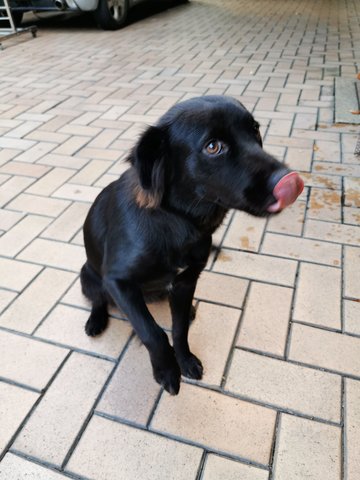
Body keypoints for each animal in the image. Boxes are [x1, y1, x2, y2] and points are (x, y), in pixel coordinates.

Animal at [80, 96, 302, 394]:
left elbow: (179, 327)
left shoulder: (187, 280)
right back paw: (96, 319)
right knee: (98, 299)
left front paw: (184, 360)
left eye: (255, 130)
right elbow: (152, 332)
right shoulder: (118, 281)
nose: (293, 183)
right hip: (87, 275)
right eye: (213, 146)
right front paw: (166, 371)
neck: (180, 221)